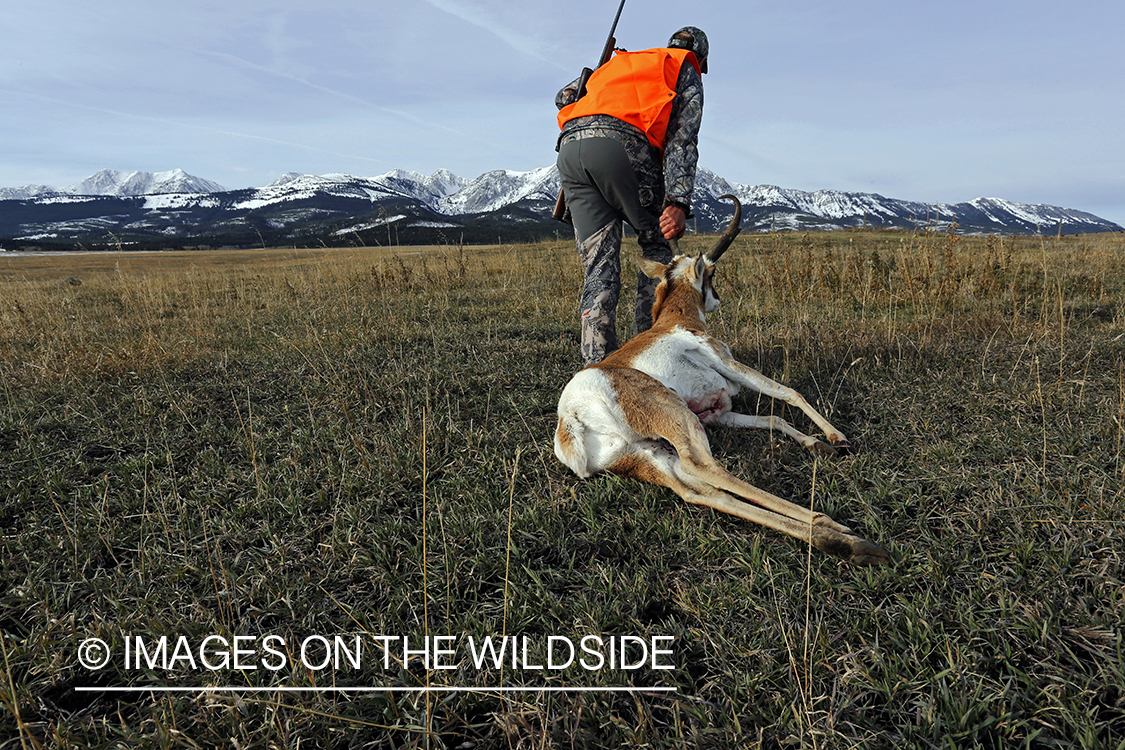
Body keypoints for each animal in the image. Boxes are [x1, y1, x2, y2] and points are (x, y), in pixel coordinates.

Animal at [554, 196, 890, 566]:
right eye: (711, 273)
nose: (718, 299)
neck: (675, 321)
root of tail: (570, 416)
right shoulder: (727, 365)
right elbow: (787, 392)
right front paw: (837, 438)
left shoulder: (717, 413)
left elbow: (771, 418)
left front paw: (818, 445)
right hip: (677, 419)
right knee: (708, 470)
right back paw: (837, 529)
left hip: (647, 454)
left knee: (700, 491)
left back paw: (844, 541)